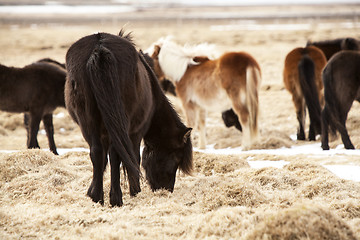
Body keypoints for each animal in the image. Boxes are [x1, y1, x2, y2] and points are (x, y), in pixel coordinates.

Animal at [65, 30, 194, 206]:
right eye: (176, 157)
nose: (167, 189)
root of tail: (100, 48)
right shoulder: (136, 132)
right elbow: (134, 157)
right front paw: (135, 190)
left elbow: (102, 160)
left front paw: (92, 191)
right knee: (115, 153)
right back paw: (116, 198)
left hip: (88, 122)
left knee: (97, 152)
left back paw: (98, 197)